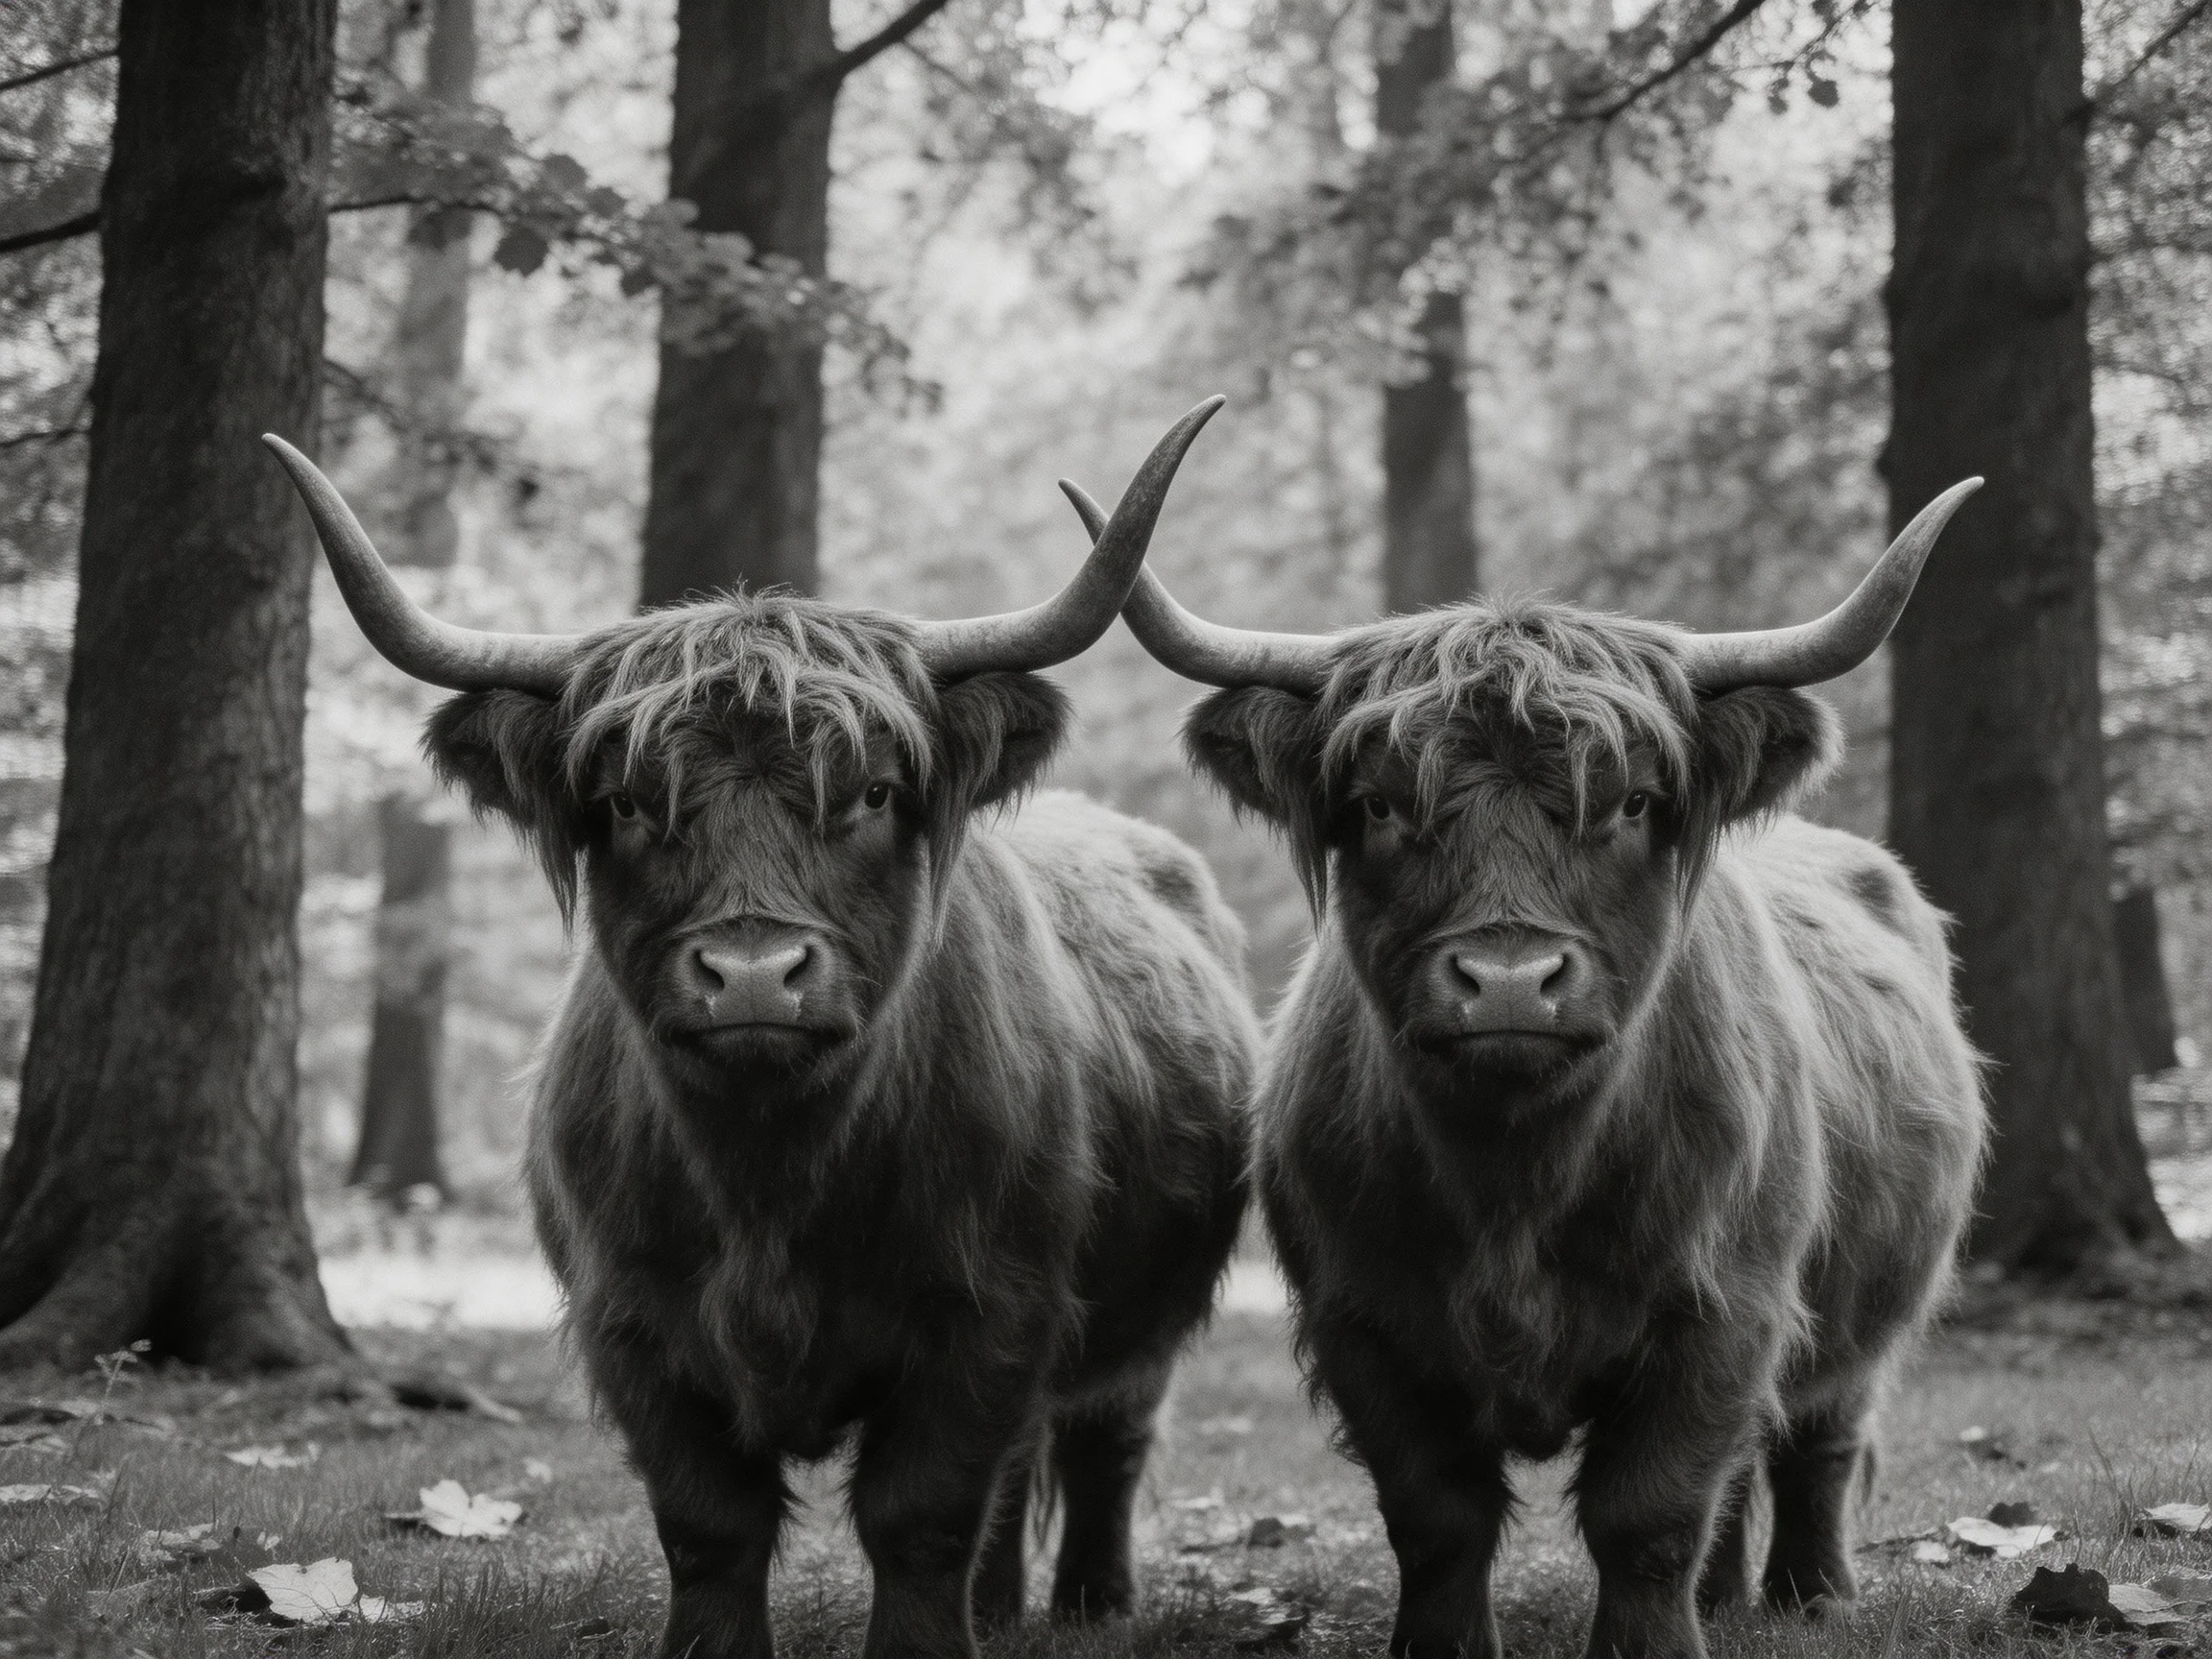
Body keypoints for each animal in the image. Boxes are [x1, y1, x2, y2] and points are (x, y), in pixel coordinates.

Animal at [266, 402, 1258, 1659]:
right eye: (627, 802)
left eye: (874, 792)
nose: (749, 975)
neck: (769, 1173)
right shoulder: (633, 1324)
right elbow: (710, 1523)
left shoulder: (989, 1314)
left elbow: (923, 1513)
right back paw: (1005, 1610)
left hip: (1146, 1319)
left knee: (1104, 1437)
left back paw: (1092, 1604)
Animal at [1062, 473, 1988, 1659]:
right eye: (1378, 804)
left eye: (1633, 802)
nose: (1508, 981)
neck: (1517, 1178)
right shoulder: (1363, 1322)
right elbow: (1438, 1515)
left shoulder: (1724, 1313)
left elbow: (1649, 1510)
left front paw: (1652, 1645)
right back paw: (1728, 1597)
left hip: (1869, 1304)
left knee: (1818, 1434)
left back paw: (1810, 1595)